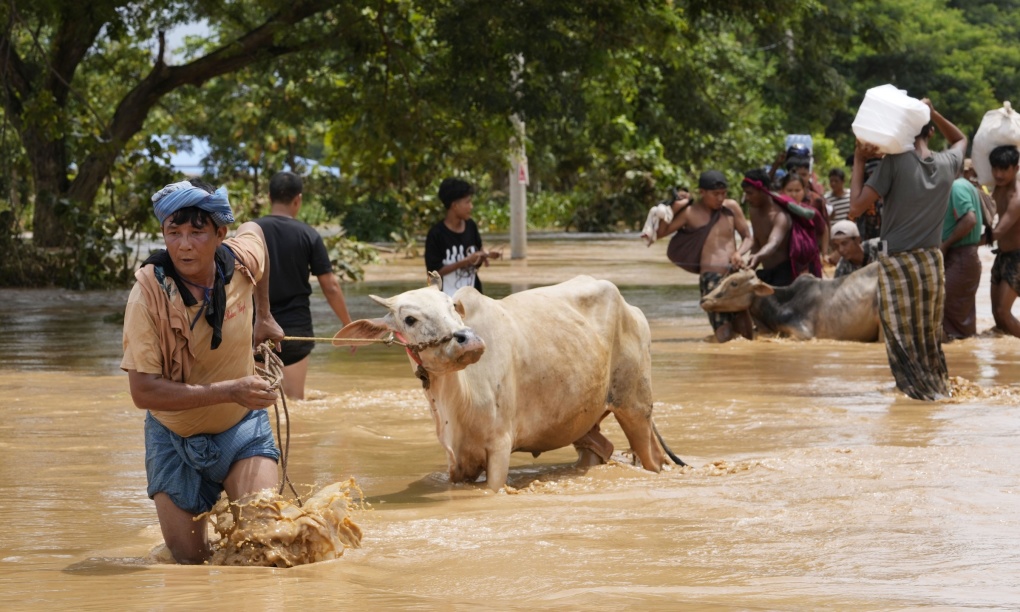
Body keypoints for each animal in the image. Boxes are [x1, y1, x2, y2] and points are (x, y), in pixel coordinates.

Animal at [336, 275, 685, 489]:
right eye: (409, 319)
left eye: (451, 307)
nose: (468, 341)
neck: (456, 400)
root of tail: (632, 309)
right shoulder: (456, 462)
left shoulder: (499, 447)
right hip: (583, 420)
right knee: (602, 448)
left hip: (634, 407)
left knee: (653, 458)